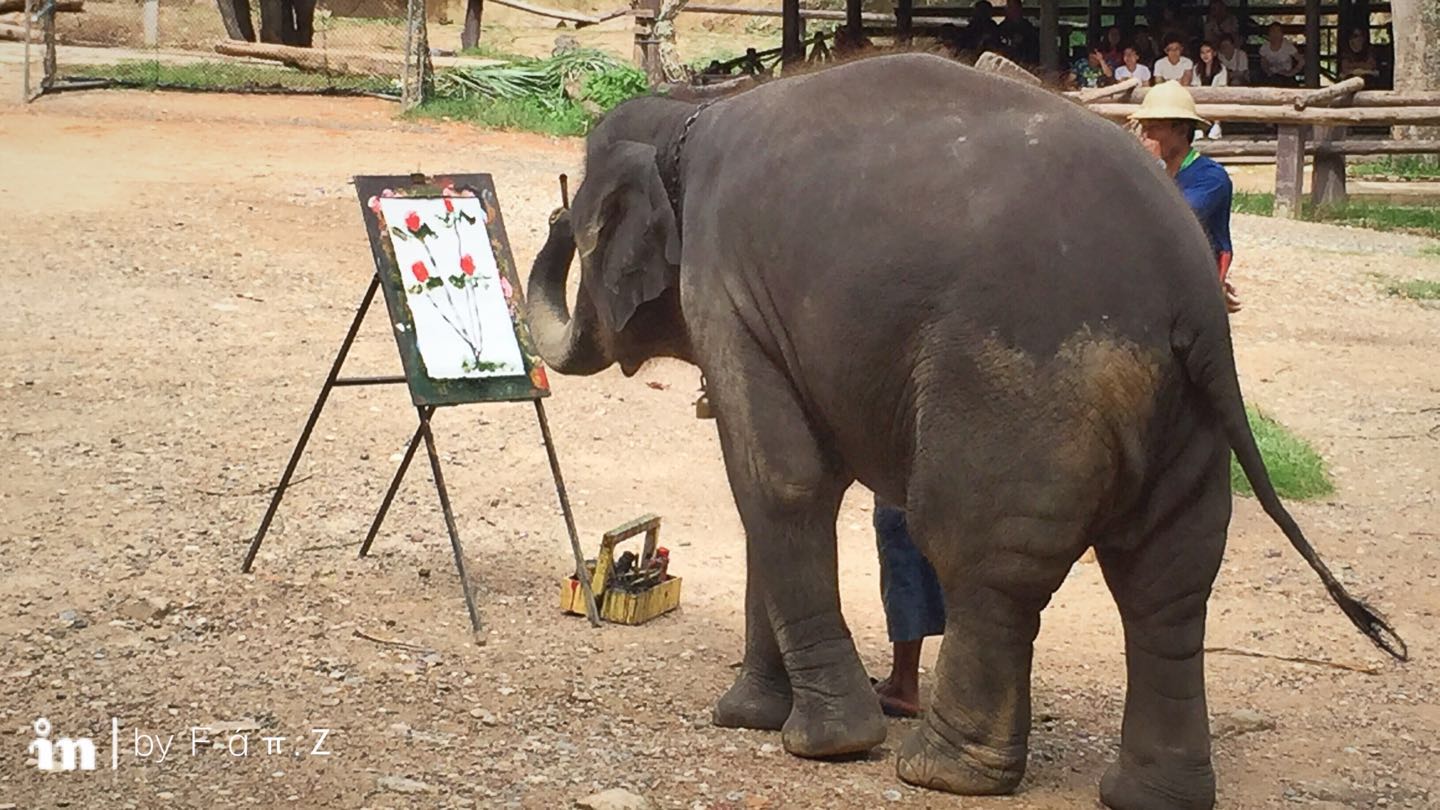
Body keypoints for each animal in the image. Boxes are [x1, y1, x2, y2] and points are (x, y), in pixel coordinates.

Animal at [521, 53, 1405, 801]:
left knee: (981, 558)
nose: (555, 220)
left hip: (1017, 392)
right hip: (1188, 419)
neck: (692, 110)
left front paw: (820, 742)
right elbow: (784, 479)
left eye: (582, 229)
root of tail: (1190, 296)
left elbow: (778, 478)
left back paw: (941, 772)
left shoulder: (726, 284)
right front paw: (749, 714)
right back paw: (1147, 795)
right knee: (1168, 580)